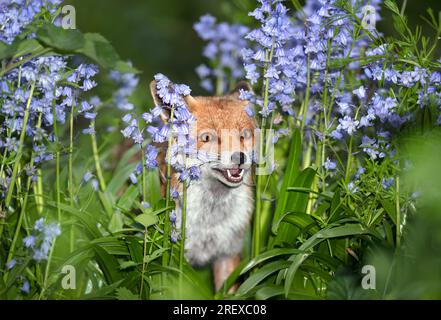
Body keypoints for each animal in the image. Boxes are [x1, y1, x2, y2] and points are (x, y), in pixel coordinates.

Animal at [150, 80, 256, 292]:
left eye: (244, 135)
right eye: (207, 138)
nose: (239, 157)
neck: (209, 222)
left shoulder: (227, 254)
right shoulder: (176, 260)